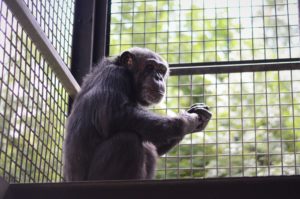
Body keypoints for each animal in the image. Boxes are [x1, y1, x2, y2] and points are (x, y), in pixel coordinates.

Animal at [62, 47, 211, 181]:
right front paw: (188, 120)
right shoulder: (114, 75)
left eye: (161, 70)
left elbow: (154, 143)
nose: (158, 78)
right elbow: (113, 114)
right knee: (127, 140)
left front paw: (197, 113)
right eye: (150, 67)